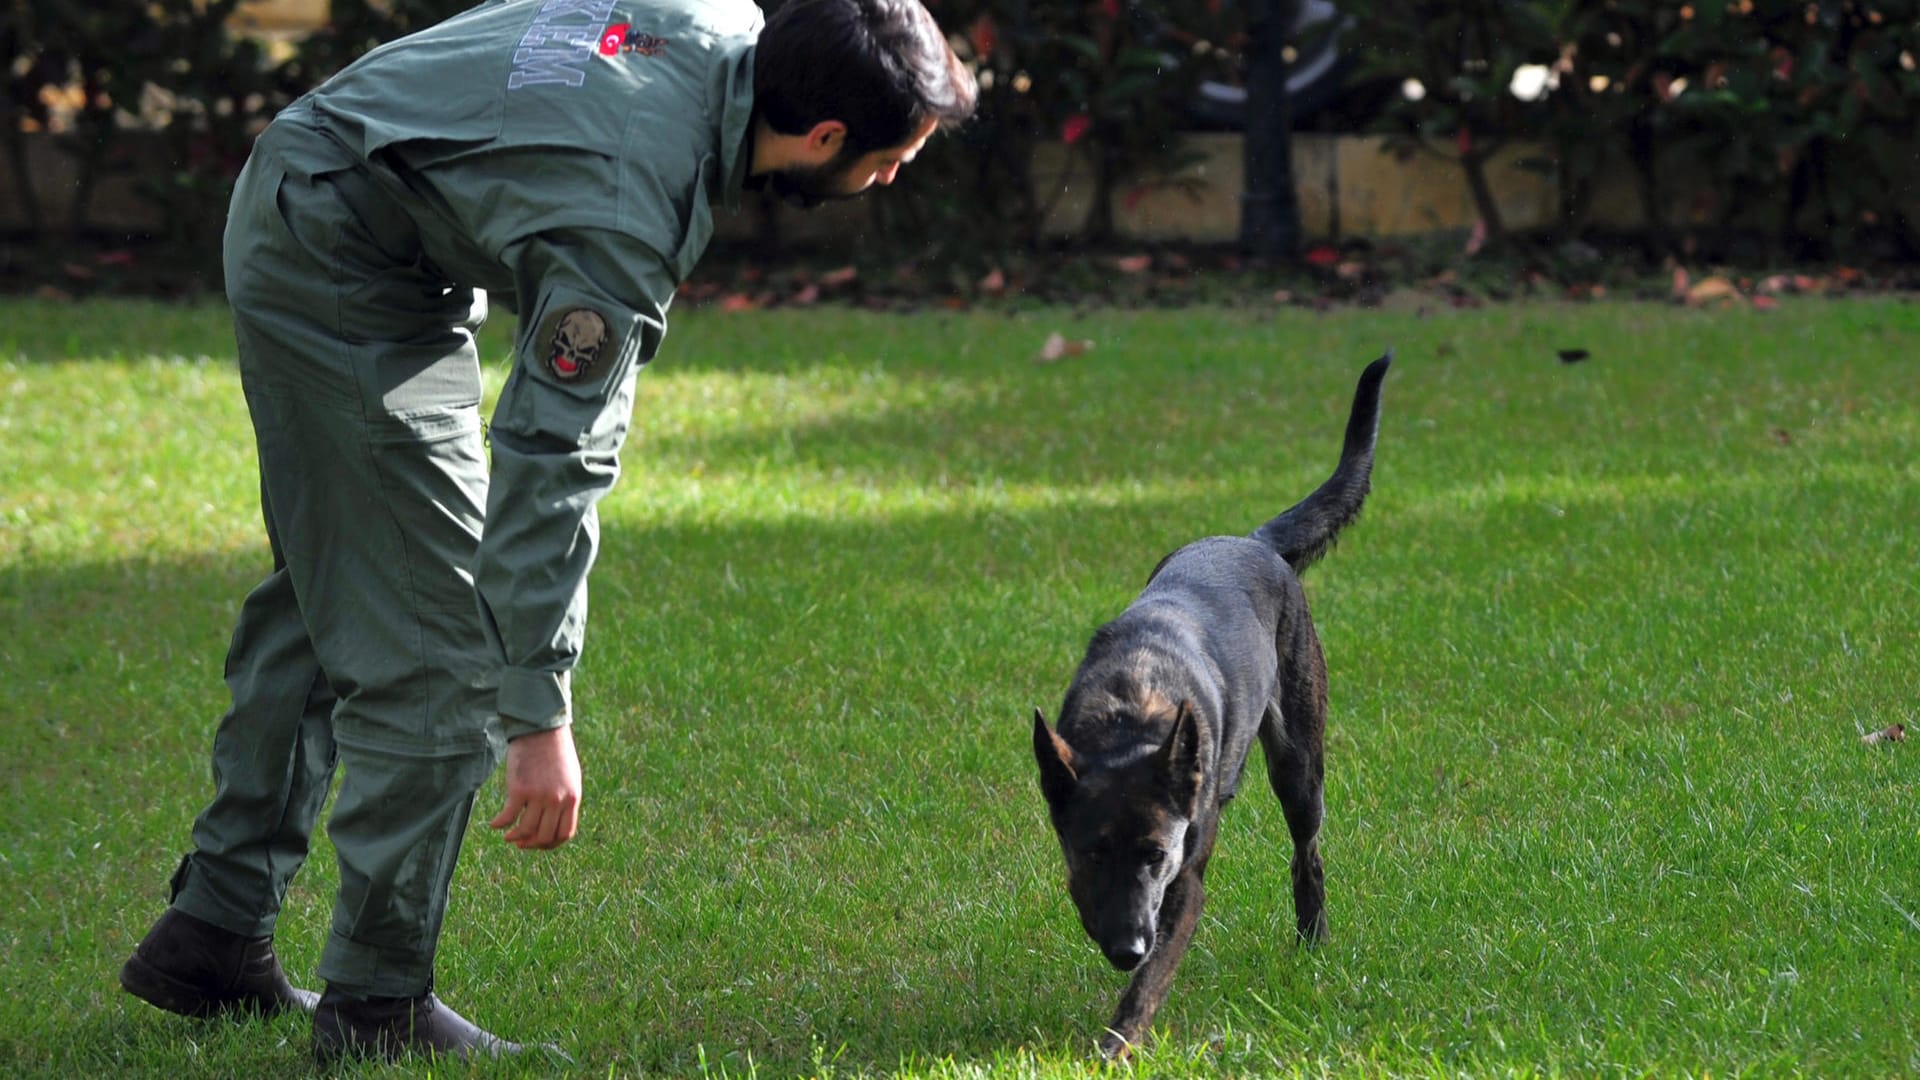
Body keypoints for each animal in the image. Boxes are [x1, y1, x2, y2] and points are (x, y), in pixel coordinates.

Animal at [1029, 351, 1390, 1053]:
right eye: (1094, 853)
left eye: (1156, 856)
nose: (1127, 947)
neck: (1131, 712)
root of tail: (1254, 541)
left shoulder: (1184, 886)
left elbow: (1149, 983)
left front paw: (1116, 1045)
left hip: (1300, 771)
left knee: (1308, 857)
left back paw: (1312, 943)